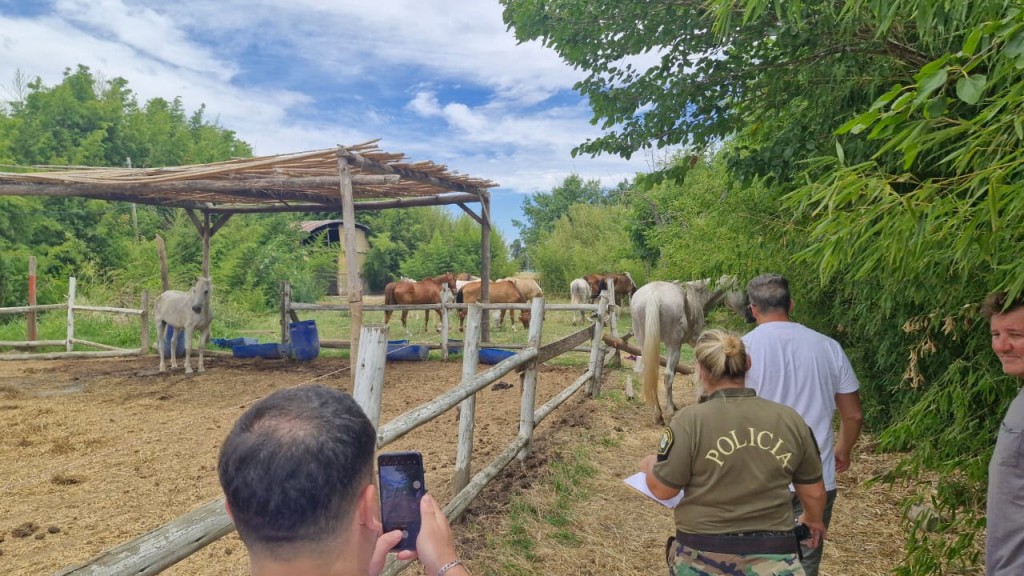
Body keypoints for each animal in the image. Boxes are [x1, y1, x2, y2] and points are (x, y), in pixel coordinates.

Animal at [630, 272, 753, 422]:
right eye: (745, 292)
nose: (751, 317)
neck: (696, 295)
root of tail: (653, 295)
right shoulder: (694, 340)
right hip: (674, 346)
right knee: (667, 375)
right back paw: (669, 412)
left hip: (645, 345)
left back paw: (657, 413)